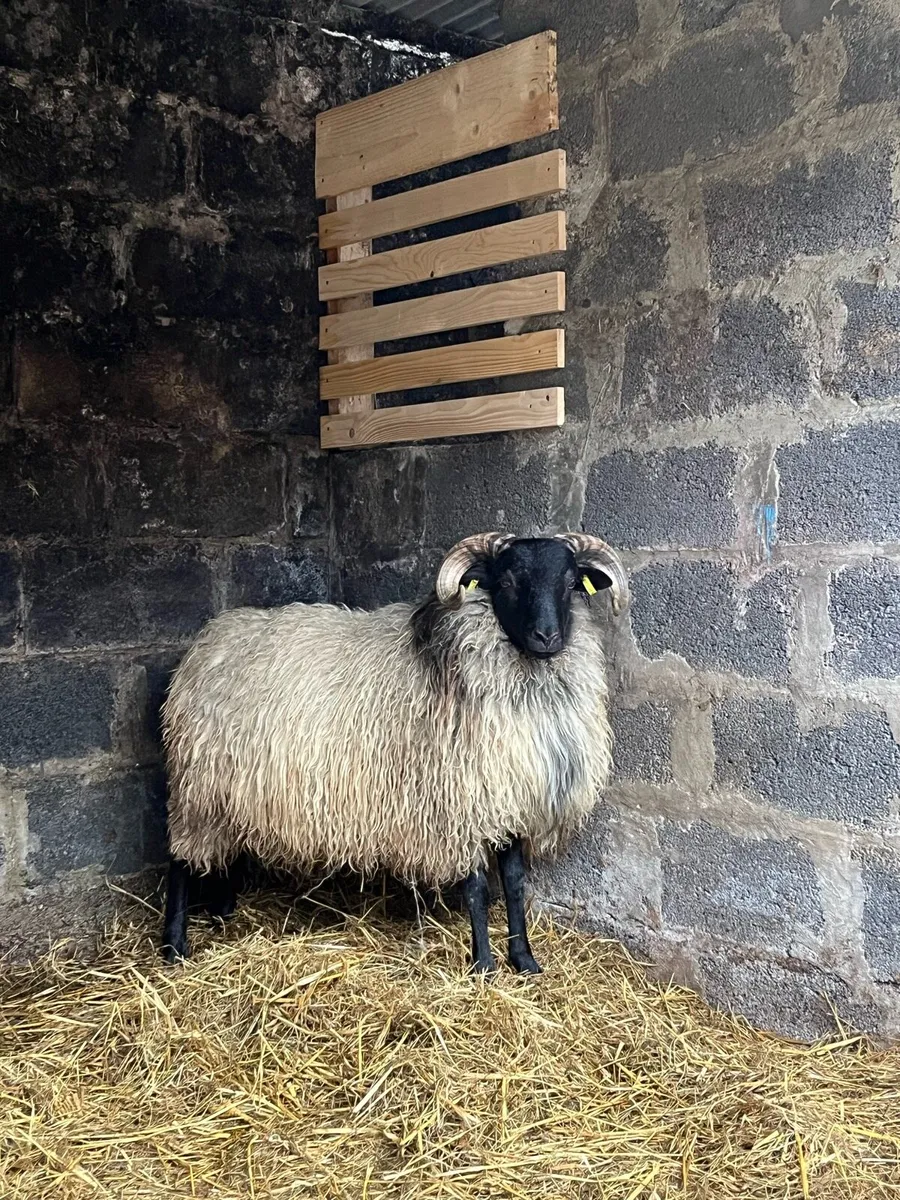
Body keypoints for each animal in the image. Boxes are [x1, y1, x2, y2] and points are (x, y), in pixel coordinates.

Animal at [160, 531, 629, 974]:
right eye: (508, 581)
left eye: (570, 583)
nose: (547, 637)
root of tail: (210, 637)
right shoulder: (458, 805)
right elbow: (476, 888)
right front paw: (483, 965)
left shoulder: (512, 799)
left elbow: (513, 884)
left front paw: (525, 961)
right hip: (196, 784)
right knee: (179, 861)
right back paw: (174, 947)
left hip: (234, 787)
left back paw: (222, 913)